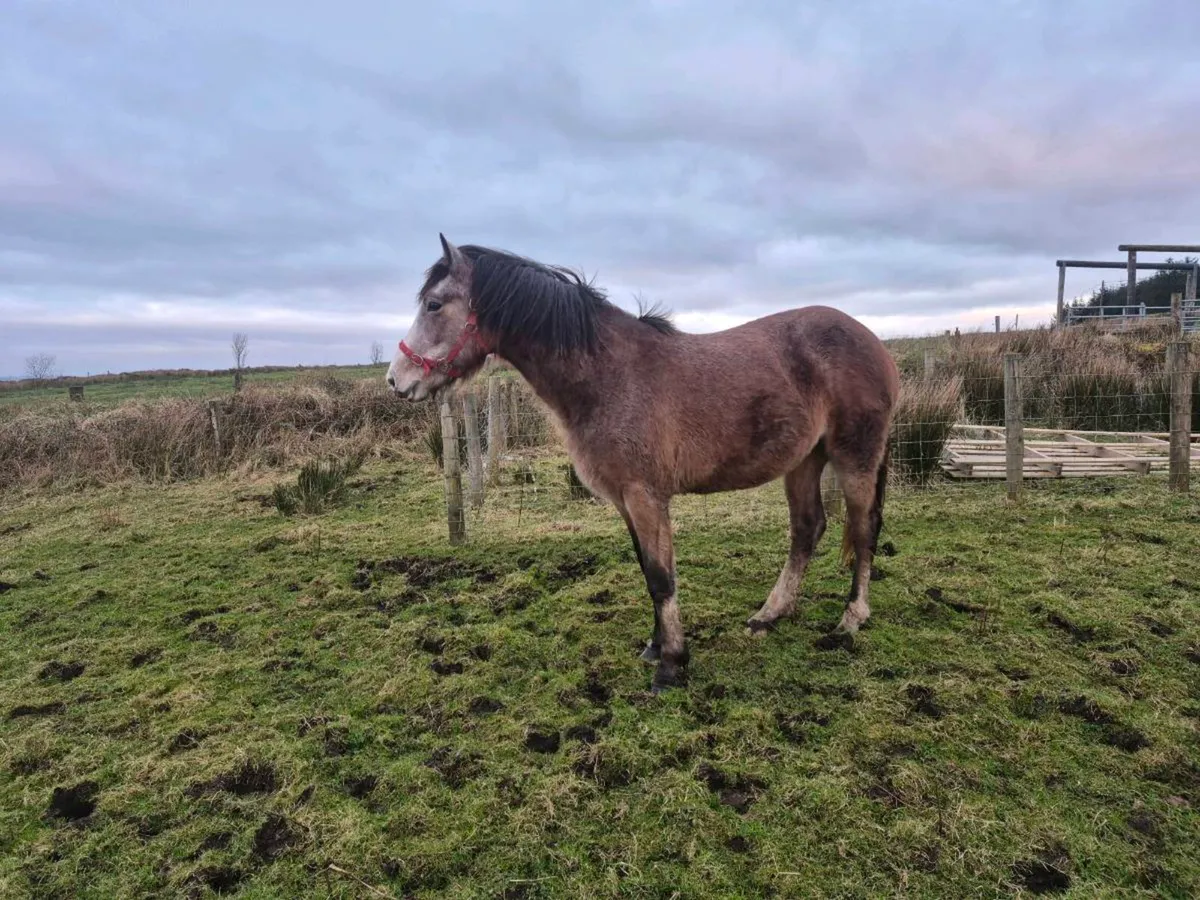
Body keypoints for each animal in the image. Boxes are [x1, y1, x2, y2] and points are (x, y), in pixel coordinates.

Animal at [387, 234, 900, 693]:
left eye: (434, 304)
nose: (396, 379)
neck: (609, 377)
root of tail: (873, 341)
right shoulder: (624, 500)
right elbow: (646, 569)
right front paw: (656, 647)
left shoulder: (645, 496)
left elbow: (660, 577)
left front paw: (672, 665)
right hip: (805, 460)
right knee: (807, 528)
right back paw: (768, 615)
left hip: (854, 457)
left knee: (863, 528)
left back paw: (851, 619)